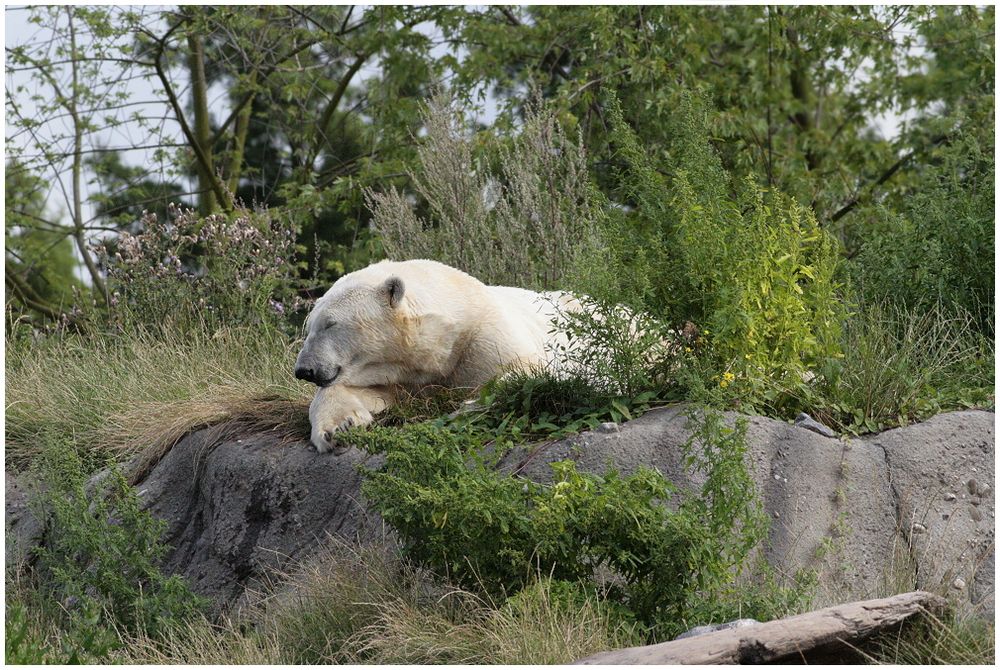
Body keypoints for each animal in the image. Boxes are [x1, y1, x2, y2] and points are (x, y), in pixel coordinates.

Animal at [292, 260, 640, 454]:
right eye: (310, 326)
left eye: (331, 324)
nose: (303, 370)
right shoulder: (402, 374)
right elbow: (356, 391)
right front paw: (339, 427)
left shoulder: (484, 335)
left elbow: (528, 371)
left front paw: (465, 406)